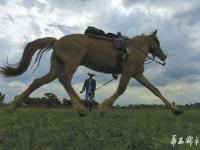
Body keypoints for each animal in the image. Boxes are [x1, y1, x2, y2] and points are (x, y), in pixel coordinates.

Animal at [0, 29, 183, 116]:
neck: (134, 49)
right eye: (157, 42)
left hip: (56, 67)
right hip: (72, 63)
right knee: (65, 79)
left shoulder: (138, 74)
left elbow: (155, 90)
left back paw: (12, 107)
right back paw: (80, 108)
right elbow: (121, 90)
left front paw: (175, 110)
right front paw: (103, 108)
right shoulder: (129, 71)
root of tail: (57, 41)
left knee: (37, 82)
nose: (164, 56)